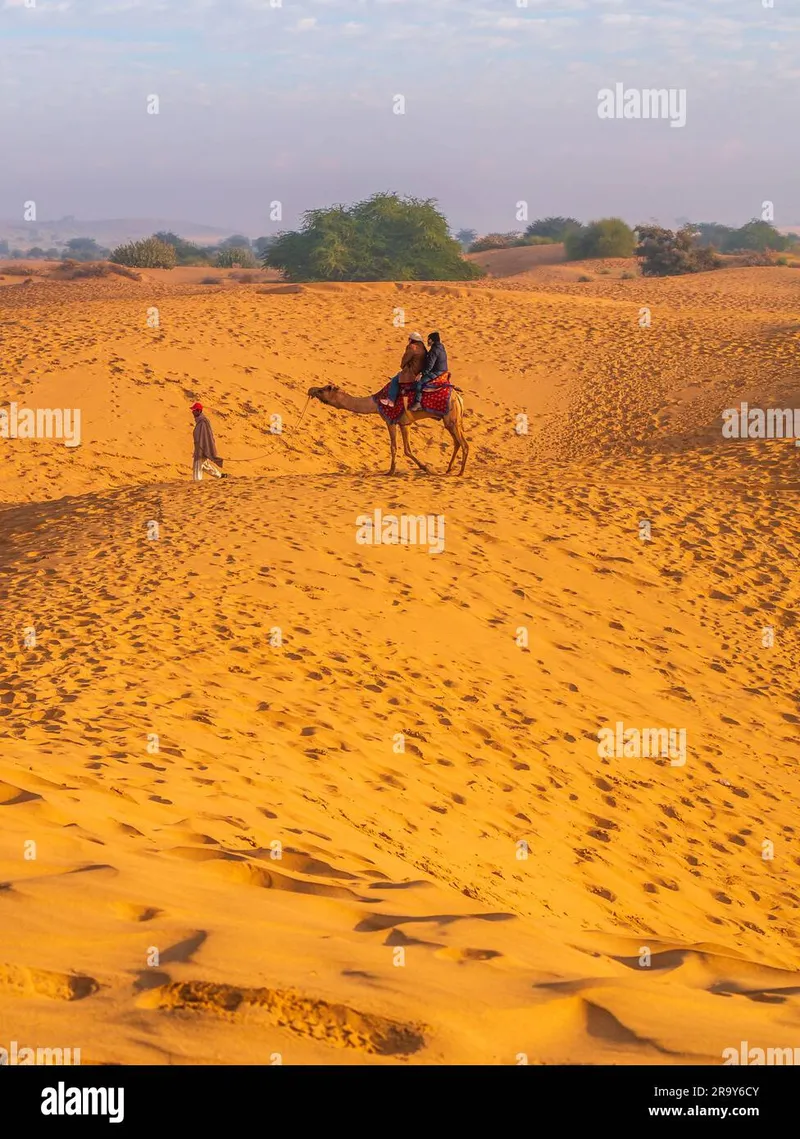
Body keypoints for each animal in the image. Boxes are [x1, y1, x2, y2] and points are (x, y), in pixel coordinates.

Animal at [307, 382, 469, 471]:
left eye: (323, 389)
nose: (311, 390)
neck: (376, 403)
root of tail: (459, 397)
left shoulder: (390, 420)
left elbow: (394, 447)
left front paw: (391, 471)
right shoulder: (404, 423)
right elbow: (407, 449)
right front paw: (426, 468)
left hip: (451, 418)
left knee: (463, 444)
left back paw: (459, 472)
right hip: (454, 420)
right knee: (457, 442)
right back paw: (449, 469)